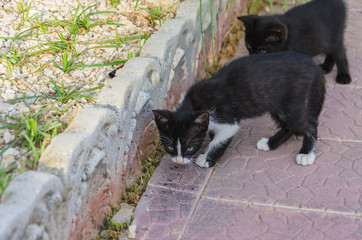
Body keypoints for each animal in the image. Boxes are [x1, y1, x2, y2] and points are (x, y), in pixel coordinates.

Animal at [152, 52, 326, 169]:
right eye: (170, 148)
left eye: (189, 148)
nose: (179, 161)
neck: (194, 103)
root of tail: (314, 66)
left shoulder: (226, 119)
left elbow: (220, 139)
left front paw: (207, 159)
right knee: (289, 126)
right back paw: (270, 143)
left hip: (294, 102)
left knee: (308, 125)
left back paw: (306, 154)